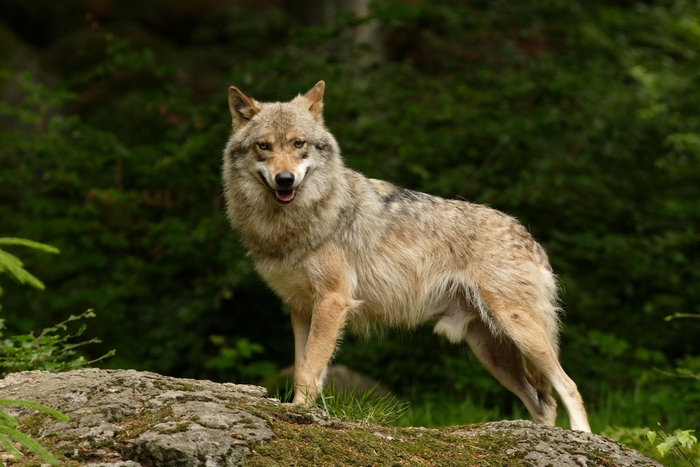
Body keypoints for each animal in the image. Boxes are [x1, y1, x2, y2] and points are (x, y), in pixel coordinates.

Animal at [222, 81, 591, 432]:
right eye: (264, 146)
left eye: (299, 144)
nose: (285, 179)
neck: (293, 223)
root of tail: (529, 237)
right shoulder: (301, 309)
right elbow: (303, 370)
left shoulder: (332, 302)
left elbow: (309, 372)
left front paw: (300, 414)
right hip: (493, 352)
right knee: (544, 403)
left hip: (521, 332)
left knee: (569, 386)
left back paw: (582, 436)